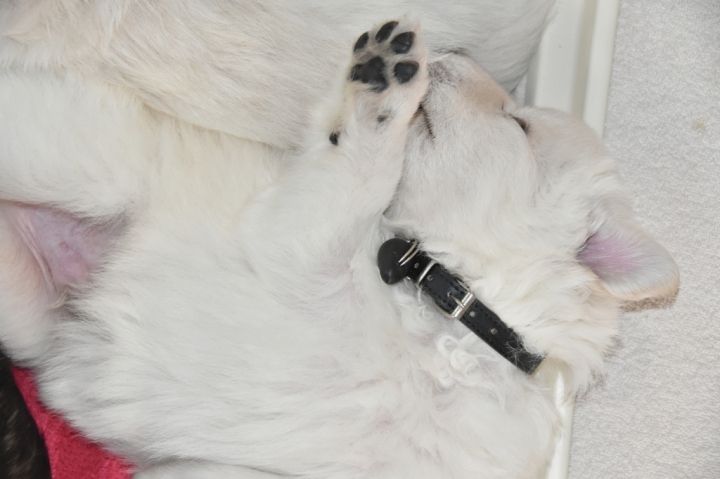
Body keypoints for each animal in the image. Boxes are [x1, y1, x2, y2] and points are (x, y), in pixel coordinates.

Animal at [0, 3, 678, 479]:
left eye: (518, 124)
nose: (454, 52)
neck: (447, 317)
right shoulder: (292, 235)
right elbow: (356, 173)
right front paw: (378, 91)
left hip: (28, 307)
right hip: (72, 162)